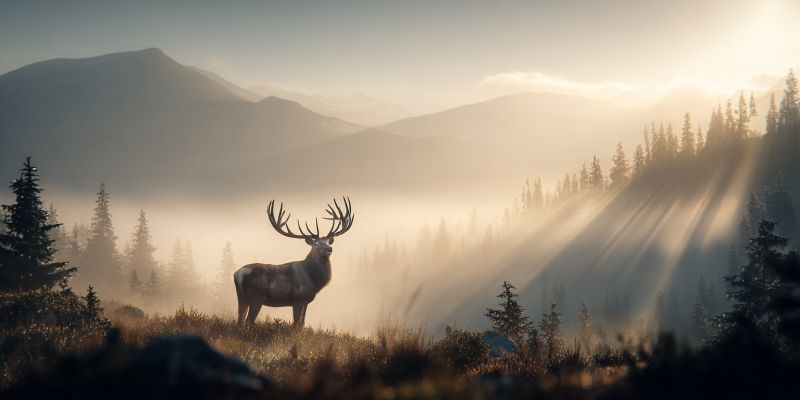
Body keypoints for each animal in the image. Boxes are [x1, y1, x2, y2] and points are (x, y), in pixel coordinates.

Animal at [234, 197, 354, 327]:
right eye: (316, 244)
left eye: (328, 242)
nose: (329, 249)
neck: (314, 280)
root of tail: (238, 274)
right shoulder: (298, 299)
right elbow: (295, 323)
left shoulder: (306, 301)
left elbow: (302, 323)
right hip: (256, 297)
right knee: (249, 320)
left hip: (242, 298)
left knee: (240, 319)